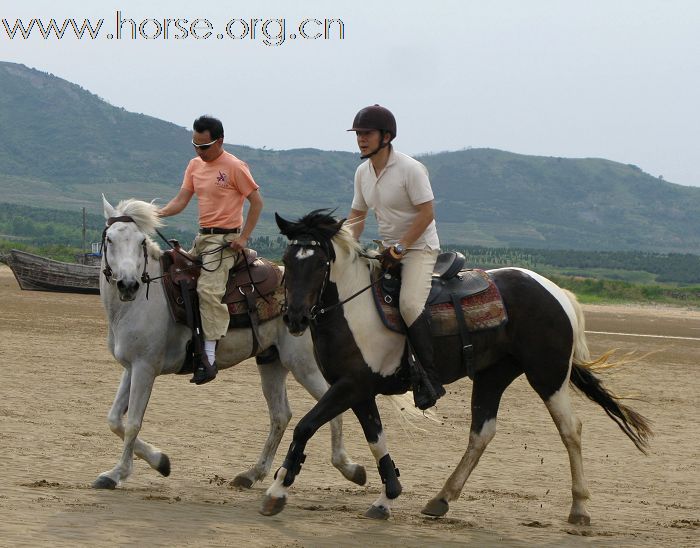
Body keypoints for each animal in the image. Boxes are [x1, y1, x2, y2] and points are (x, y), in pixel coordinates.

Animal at [91, 198, 366, 492]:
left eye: (141, 241)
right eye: (109, 239)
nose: (128, 284)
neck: (146, 298)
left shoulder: (145, 368)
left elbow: (132, 423)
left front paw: (118, 473)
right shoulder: (131, 367)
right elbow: (114, 420)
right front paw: (160, 461)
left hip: (304, 366)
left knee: (330, 407)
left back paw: (350, 468)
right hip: (272, 362)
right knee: (280, 415)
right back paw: (252, 473)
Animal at [260, 208, 652, 524]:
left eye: (319, 263)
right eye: (288, 260)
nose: (294, 318)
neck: (354, 309)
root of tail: (556, 291)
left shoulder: (351, 386)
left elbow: (305, 426)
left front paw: (277, 490)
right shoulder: (358, 390)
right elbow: (375, 439)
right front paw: (387, 496)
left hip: (548, 375)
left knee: (571, 429)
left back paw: (580, 508)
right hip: (494, 375)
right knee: (482, 432)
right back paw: (442, 498)